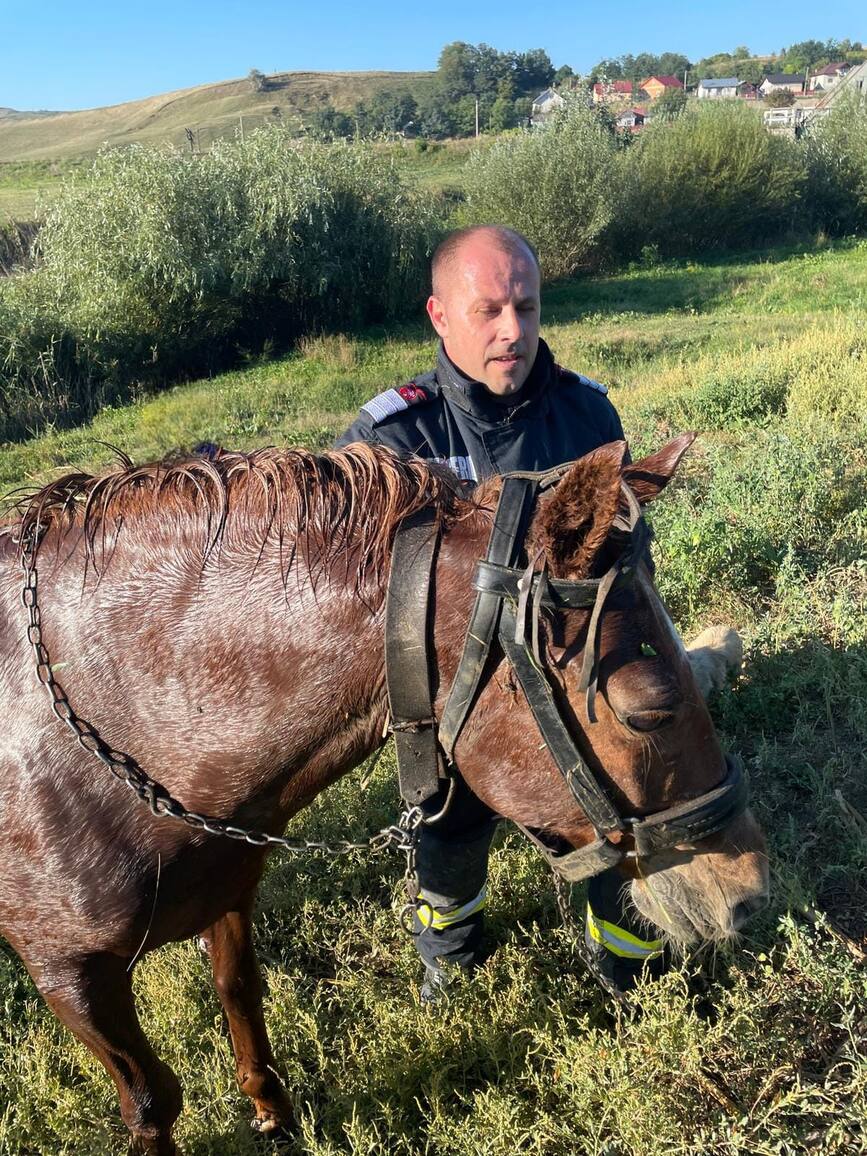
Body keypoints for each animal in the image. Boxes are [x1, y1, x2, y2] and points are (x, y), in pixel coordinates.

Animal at [0, 434, 772, 1156]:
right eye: (648, 710)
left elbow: (240, 995)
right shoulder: (72, 977)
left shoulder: (227, 897)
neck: (117, 720)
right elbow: (151, 1100)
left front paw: (273, 1114)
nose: (748, 891)